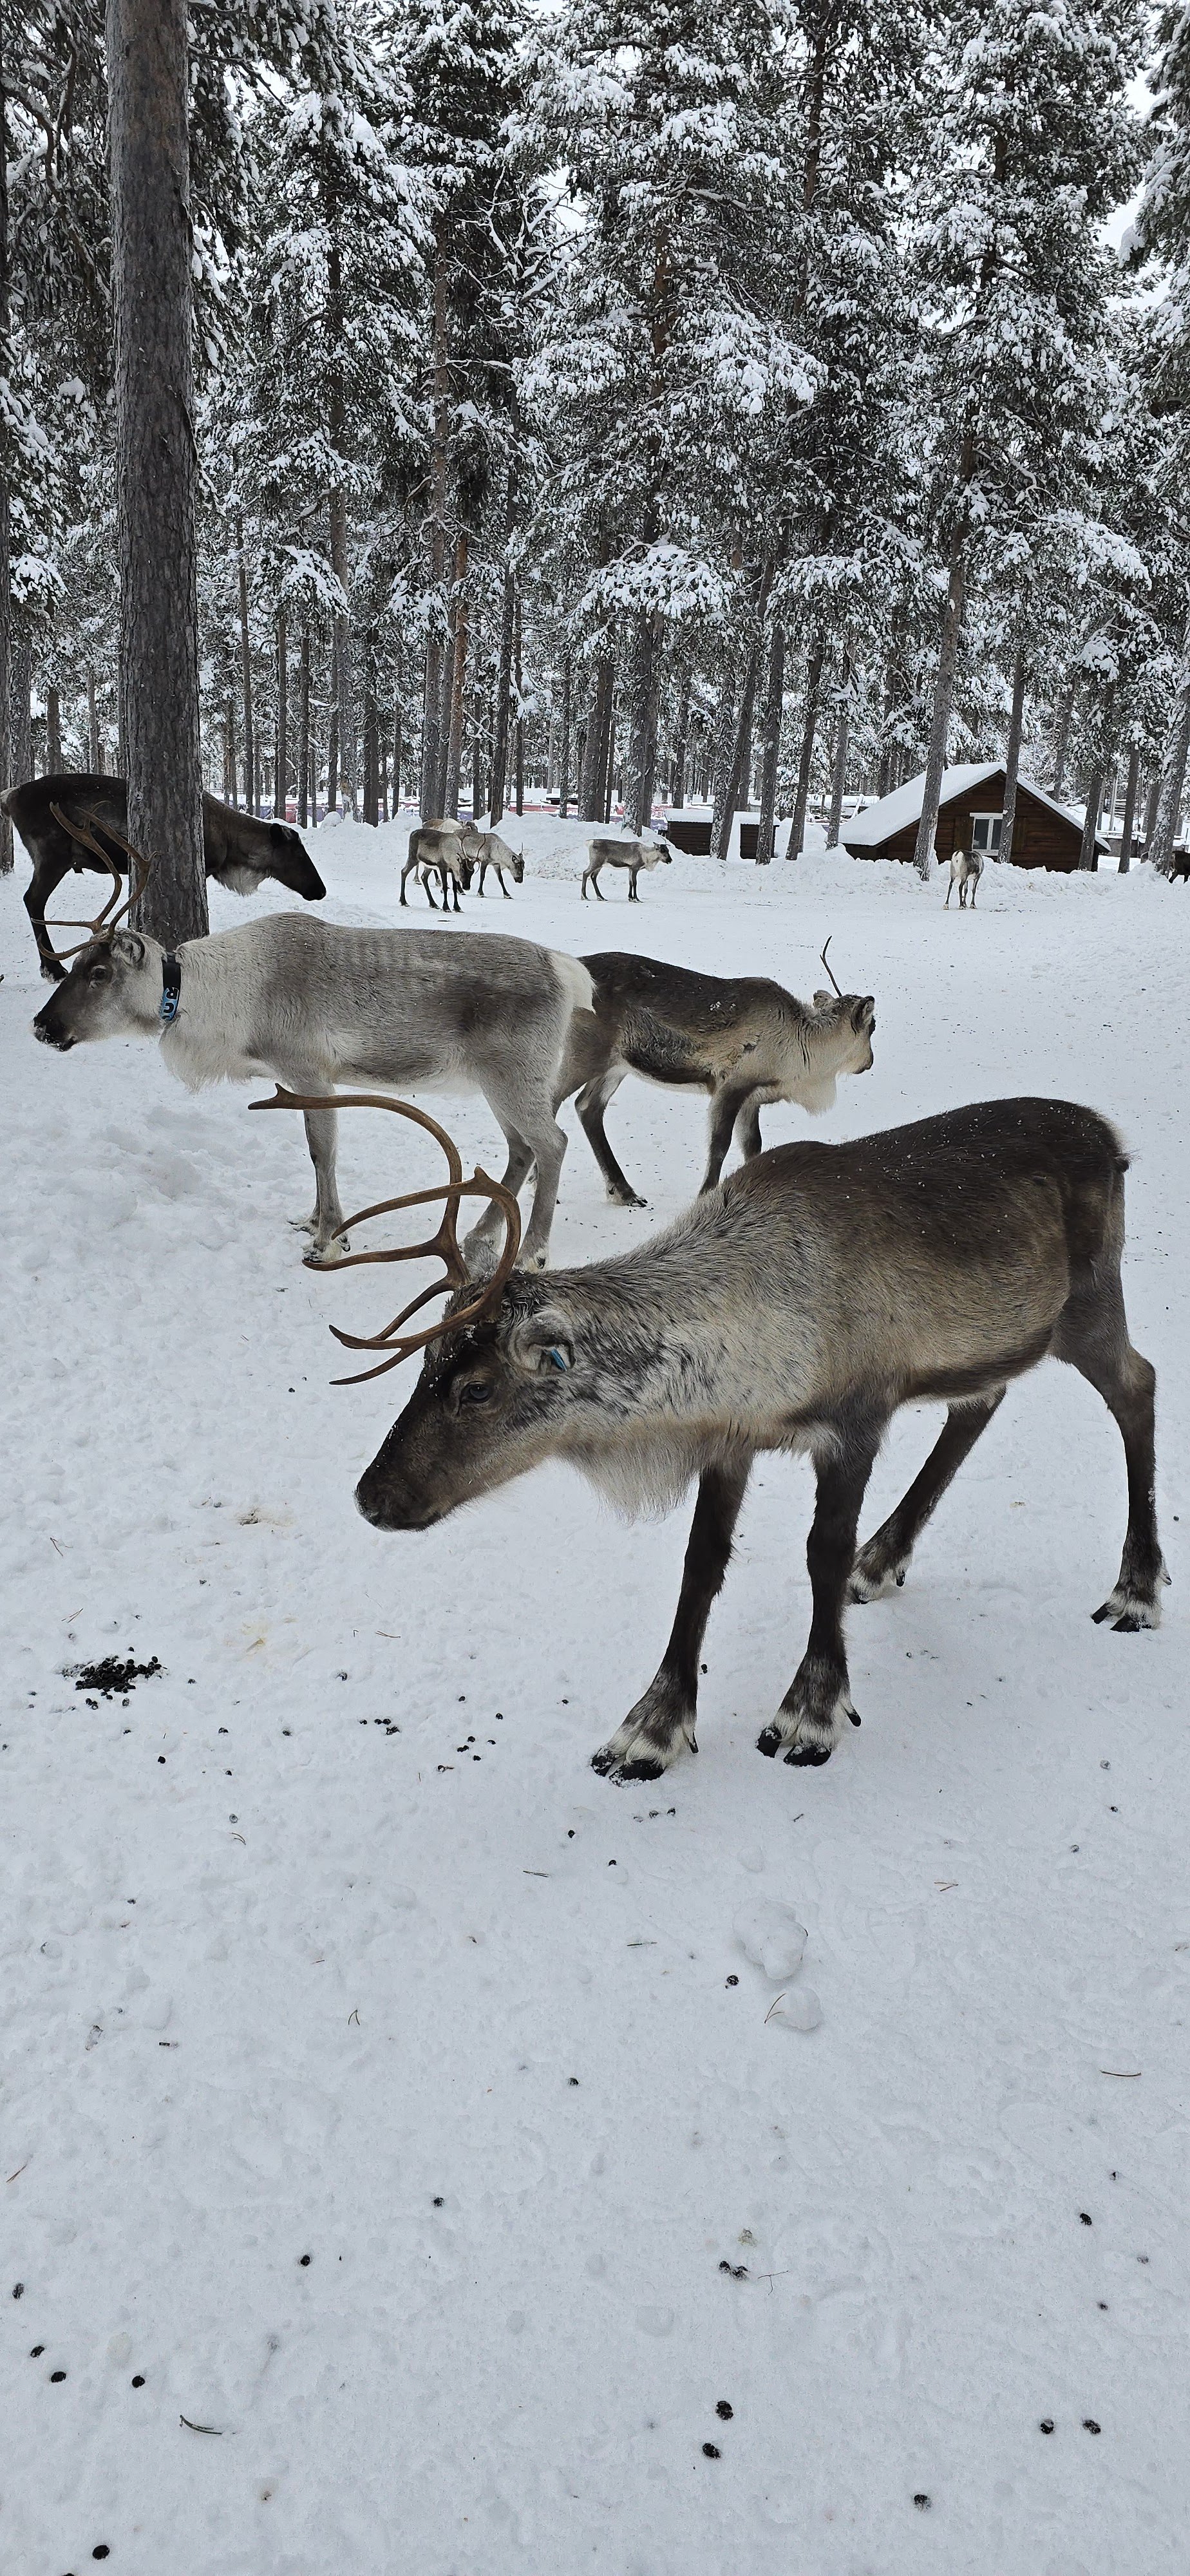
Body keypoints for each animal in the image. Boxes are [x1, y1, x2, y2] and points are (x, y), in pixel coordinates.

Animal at [3, 772, 326, 980]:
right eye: (297, 853)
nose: (320, 890)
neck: (231, 846)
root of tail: (10, 797)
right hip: (51, 856)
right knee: (33, 899)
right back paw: (52, 968)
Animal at [30, 812, 593, 1270]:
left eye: (99, 972)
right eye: (78, 965)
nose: (42, 1026)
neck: (221, 1003)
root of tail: (568, 973)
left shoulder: (310, 1071)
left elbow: (324, 1153)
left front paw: (327, 1242)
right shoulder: (298, 1080)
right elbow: (313, 1152)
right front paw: (316, 1224)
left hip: (514, 1075)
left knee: (553, 1144)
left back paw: (531, 1252)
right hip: (498, 1081)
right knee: (521, 1151)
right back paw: (480, 1238)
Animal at [298, 1091, 1164, 1784]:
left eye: (477, 1387)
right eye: (423, 1369)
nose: (373, 1497)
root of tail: (1112, 1136)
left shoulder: (855, 1421)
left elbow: (818, 1554)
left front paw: (811, 1711)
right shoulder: (729, 1437)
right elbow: (700, 1563)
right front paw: (651, 1728)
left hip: (1089, 1300)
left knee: (1139, 1386)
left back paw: (1136, 1588)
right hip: (999, 1335)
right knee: (980, 1404)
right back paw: (883, 1558)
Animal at [554, 940, 876, 1204]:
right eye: (872, 1027)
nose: (870, 1062)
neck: (802, 1047)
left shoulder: (753, 1097)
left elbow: (753, 1146)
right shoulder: (732, 1086)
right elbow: (719, 1145)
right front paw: (706, 1194)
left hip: (616, 1065)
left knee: (588, 1107)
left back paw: (624, 1192)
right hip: (582, 1056)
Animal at [582, 833, 675, 901]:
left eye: (668, 850)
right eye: (662, 850)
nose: (670, 860)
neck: (646, 856)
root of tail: (590, 842)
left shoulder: (630, 868)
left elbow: (630, 883)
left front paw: (630, 898)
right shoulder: (635, 868)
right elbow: (635, 883)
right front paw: (636, 899)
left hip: (600, 865)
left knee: (593, 877)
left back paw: (601, 897)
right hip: (595, 862)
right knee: (585, 873)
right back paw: (584, 897)